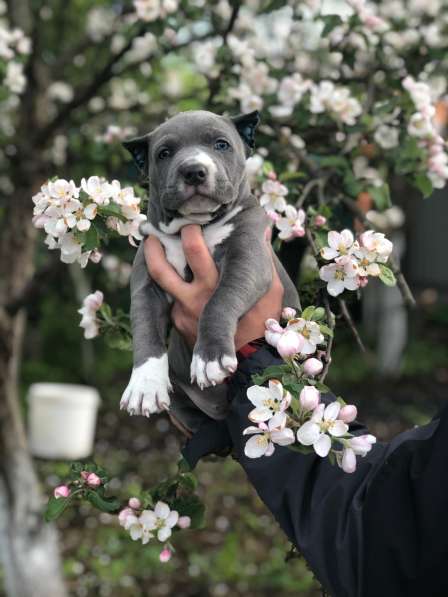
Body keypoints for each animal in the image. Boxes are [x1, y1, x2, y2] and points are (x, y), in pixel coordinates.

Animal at [121, 109, 300, 430]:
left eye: (221, 144)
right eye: (164, 153)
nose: (193, 170)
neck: (195, 226)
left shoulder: (248, 258)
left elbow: (219, 301)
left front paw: (210, 357)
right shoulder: (147, 280)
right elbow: (145, 328)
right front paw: (144, 384)